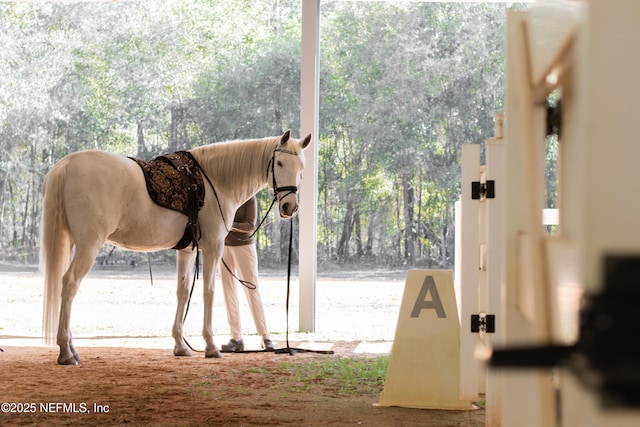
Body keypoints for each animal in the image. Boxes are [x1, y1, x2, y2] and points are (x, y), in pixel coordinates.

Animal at [39, 130, 310, 364]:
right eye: (280, 164)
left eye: (302, 168)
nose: (289, 207)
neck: (215, 181)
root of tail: (67, 164)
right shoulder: (213, 247)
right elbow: (209, 292)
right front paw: (211, 346)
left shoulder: (188, 250)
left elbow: (182, 292)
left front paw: (180, 345)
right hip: (89, 245)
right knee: (69, 284)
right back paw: (66, 353)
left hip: (72, 242)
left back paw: (71, 348)